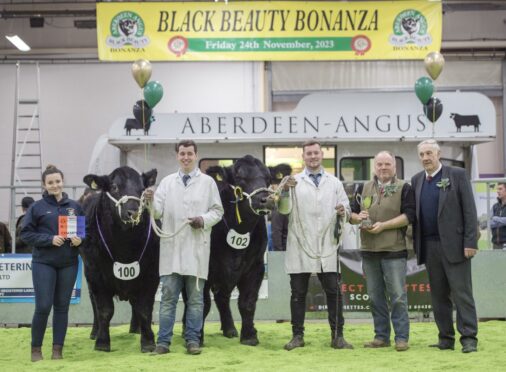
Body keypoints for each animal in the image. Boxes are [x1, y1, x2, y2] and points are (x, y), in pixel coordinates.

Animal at [80, 166, 159, 352]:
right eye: (114, 187)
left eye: (142, 189)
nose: (133, 212)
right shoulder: (95, 275)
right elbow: (104, 310)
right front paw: (102, 342)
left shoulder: (151, 274)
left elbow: (144, 309)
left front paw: (148, 341)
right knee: (94, 304)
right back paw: (94, 332)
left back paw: (136, 329)